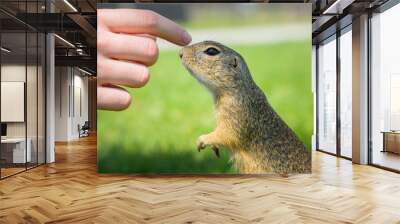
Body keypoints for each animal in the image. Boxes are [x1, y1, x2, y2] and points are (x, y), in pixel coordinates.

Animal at [180, 40, 310, 175]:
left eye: (211, 51)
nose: (180, 52)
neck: (238, 88)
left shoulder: (236, 113)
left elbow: (226, 133)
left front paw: (203, 139)